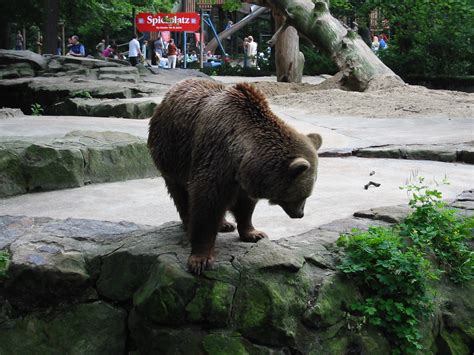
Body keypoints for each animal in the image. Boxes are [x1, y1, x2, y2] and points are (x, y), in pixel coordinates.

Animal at [149, 79, 322, 276]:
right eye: (303, 195)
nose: (300, 214)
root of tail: (173, 89)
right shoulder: (215, 157)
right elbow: (206, 203)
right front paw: (200, 260)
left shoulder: (244, 178)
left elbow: (245, 206)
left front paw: (254, 233)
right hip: (172, 153)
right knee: (180, 194)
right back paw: (190, 223)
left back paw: (224, 224)